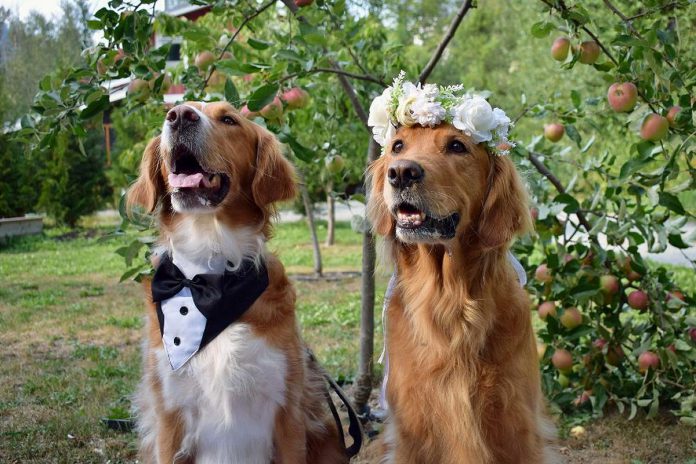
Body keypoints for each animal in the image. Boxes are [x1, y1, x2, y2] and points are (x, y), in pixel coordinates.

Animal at [127, 102, 348, 464]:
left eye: (229, 119)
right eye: (170, 112)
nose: (180, 115)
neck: (210, 276)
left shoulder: (287, 412)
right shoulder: (169, 417)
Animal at [368, 73, 556, 464]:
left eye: (457, 146)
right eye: (397, 146)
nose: (401, 173)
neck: (450, 302)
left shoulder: (514, 423)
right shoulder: (412, 431)